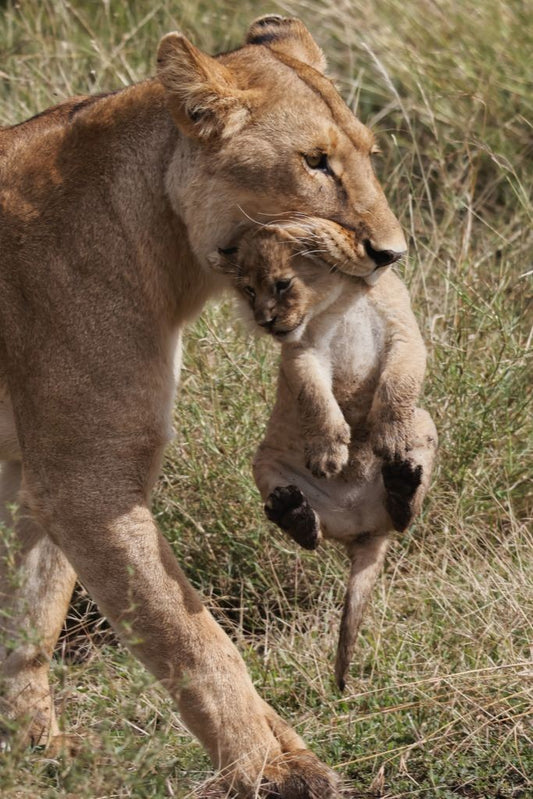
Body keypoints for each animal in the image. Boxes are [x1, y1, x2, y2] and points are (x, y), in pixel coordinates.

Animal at [0, 15, 407, 797]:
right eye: (315, 162)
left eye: (369, 156)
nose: (392, 253)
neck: (163, 256)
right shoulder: (85, 478)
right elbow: (191, 635)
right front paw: (269, 770)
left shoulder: (40, 476)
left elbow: (29, 614)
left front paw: (31, 748)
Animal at [210, 225, 437, 691]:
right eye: (248, 290)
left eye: (282, 284)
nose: (265, 321)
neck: (340, 300)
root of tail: (362, 531)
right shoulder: (301, 354)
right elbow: (315, 398)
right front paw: (331, 451)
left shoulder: (404, 332)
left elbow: (397, 385)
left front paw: (388, 436)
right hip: (264, 462)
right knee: (311, 536)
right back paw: (292, 511)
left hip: (426, 422)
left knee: (404, 517)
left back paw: (402, 483)